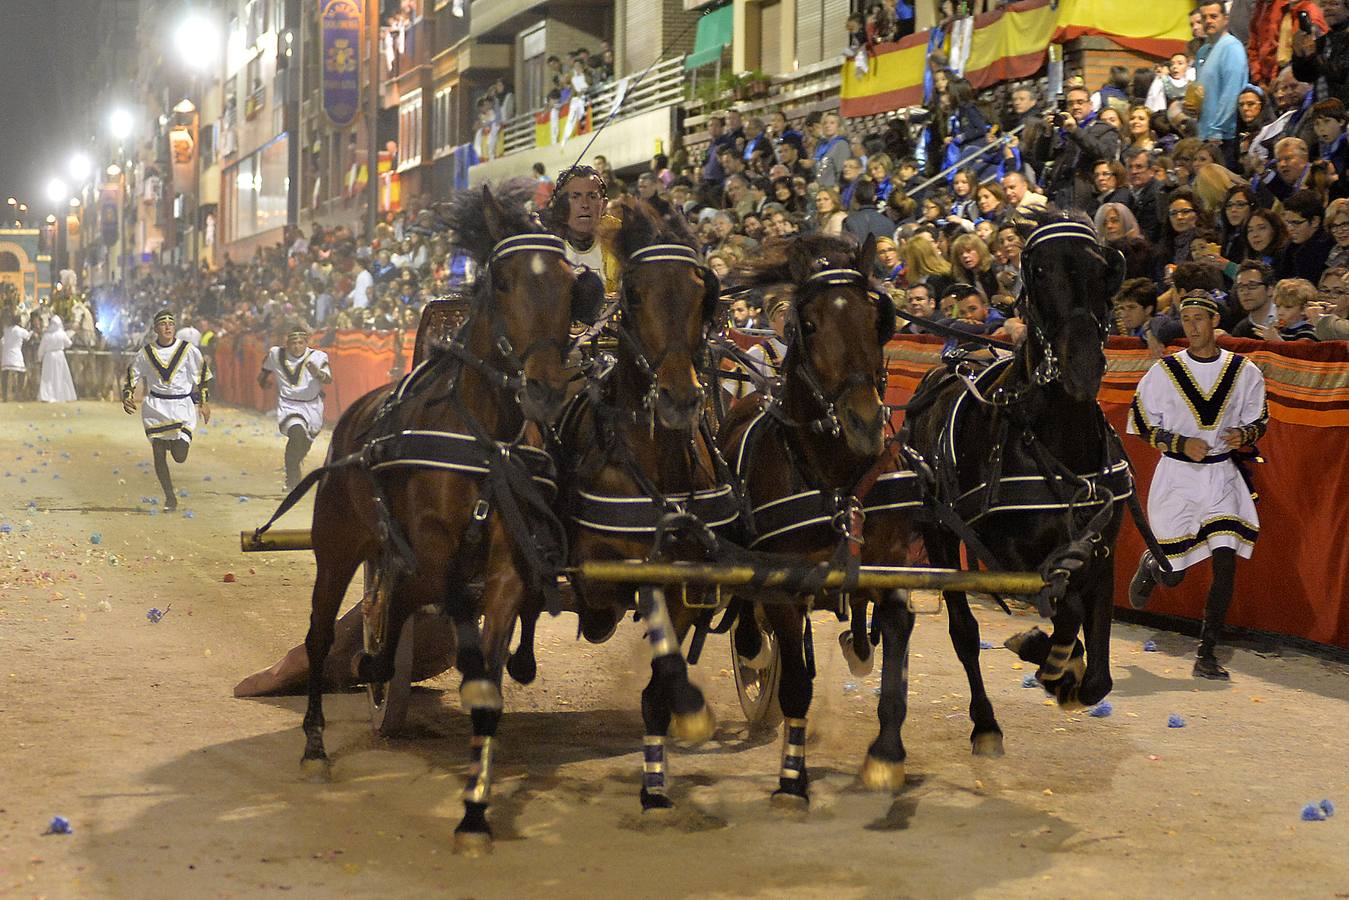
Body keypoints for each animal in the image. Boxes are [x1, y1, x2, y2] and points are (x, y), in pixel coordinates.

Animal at [300, 183, 596, 852]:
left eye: (573, 285)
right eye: (503, 281)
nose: (545, 388)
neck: (484, 440)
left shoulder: (506, 572)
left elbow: (488, 683)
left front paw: (476, 809)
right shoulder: (435, 560)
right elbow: (423, 615)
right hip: (336, 546)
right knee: (323, 633)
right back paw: (317, 742)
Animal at [717, 230, 917, 804]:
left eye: (876, 318)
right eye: (806, 325)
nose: (864, 422)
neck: (835, 478)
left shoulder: (892, 569)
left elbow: (892, 659)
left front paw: (886, 755)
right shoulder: (785, 591)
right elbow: (795, 687)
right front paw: (792, 779)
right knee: (748, 621)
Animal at [906, 215, 1127, 755]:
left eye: (1104, 269)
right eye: (1039, 270)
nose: (1082, 365)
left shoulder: (1102, 552)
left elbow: (1099, 678)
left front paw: (1067, 669)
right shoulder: (1009, 557)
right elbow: (1065, 612)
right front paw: (1047, 656)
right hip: (942, 536)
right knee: (964, 632)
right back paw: (986, 722)